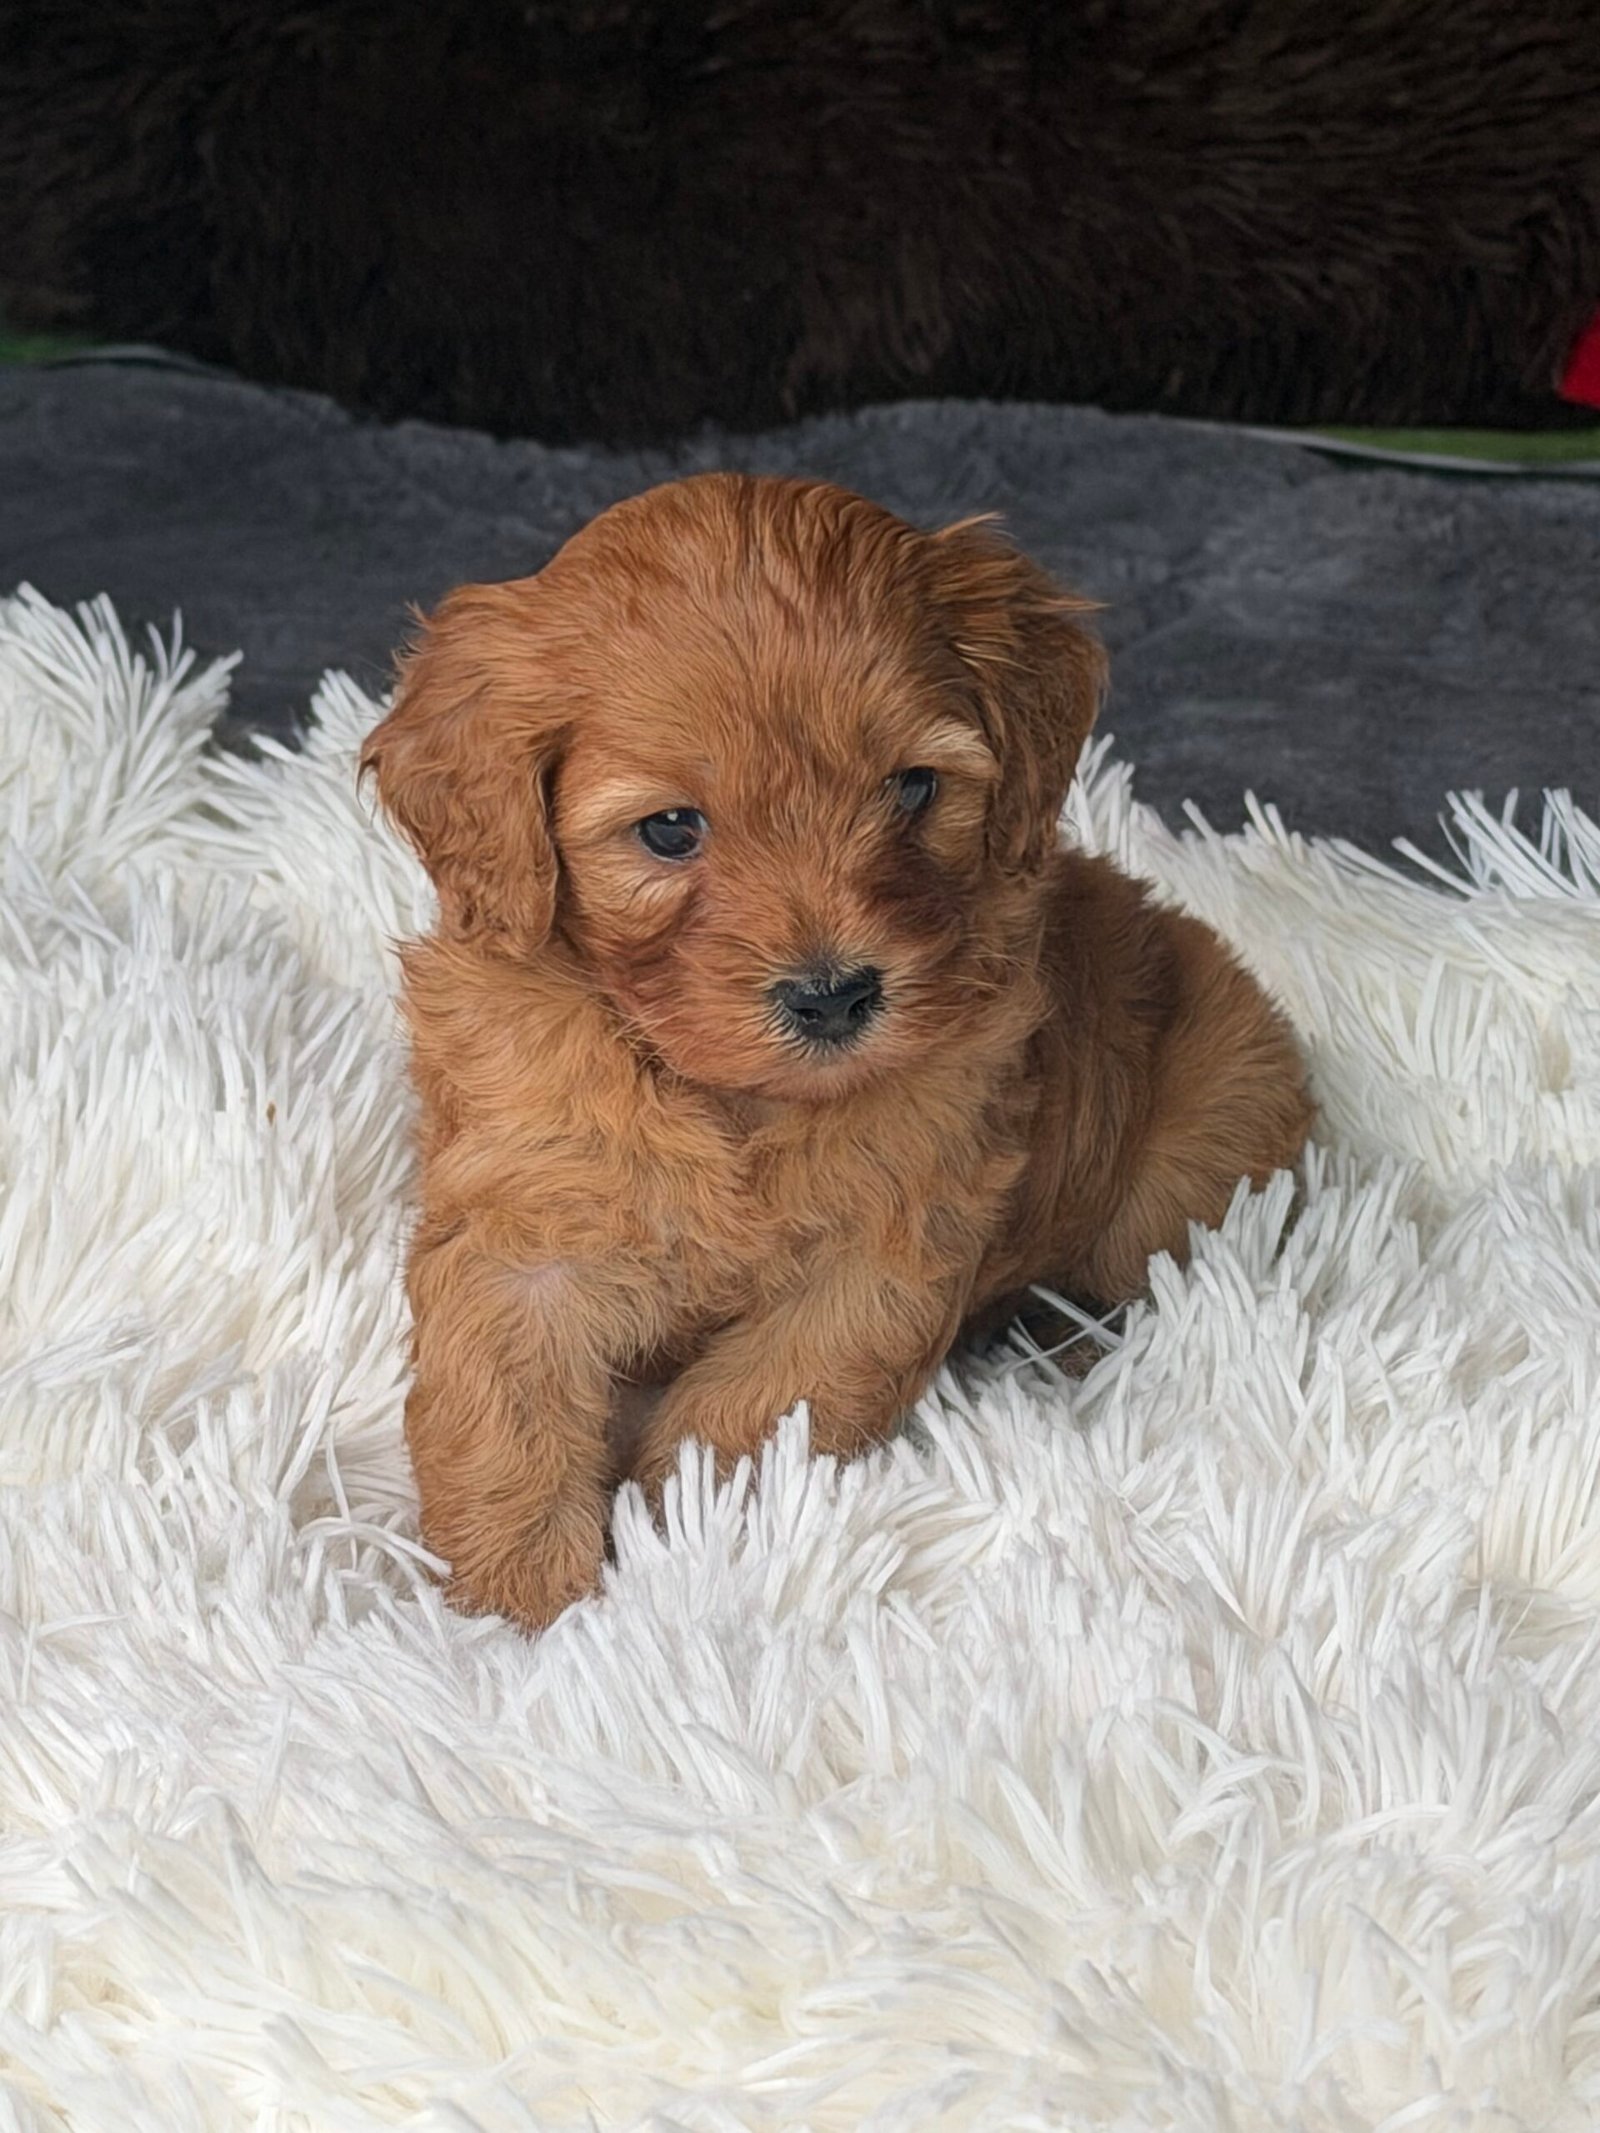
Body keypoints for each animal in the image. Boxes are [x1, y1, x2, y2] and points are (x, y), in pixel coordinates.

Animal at [361, 474, 1313, 1632]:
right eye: (670, 829)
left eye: (911, 788)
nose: (833, 996)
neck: (730, 1098)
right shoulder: (527, 1215)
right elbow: (502, 1403)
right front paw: (515, 1603)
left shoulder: (890, 1242)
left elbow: (763, 1401)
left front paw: (681, 1526)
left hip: (1205, 1131)